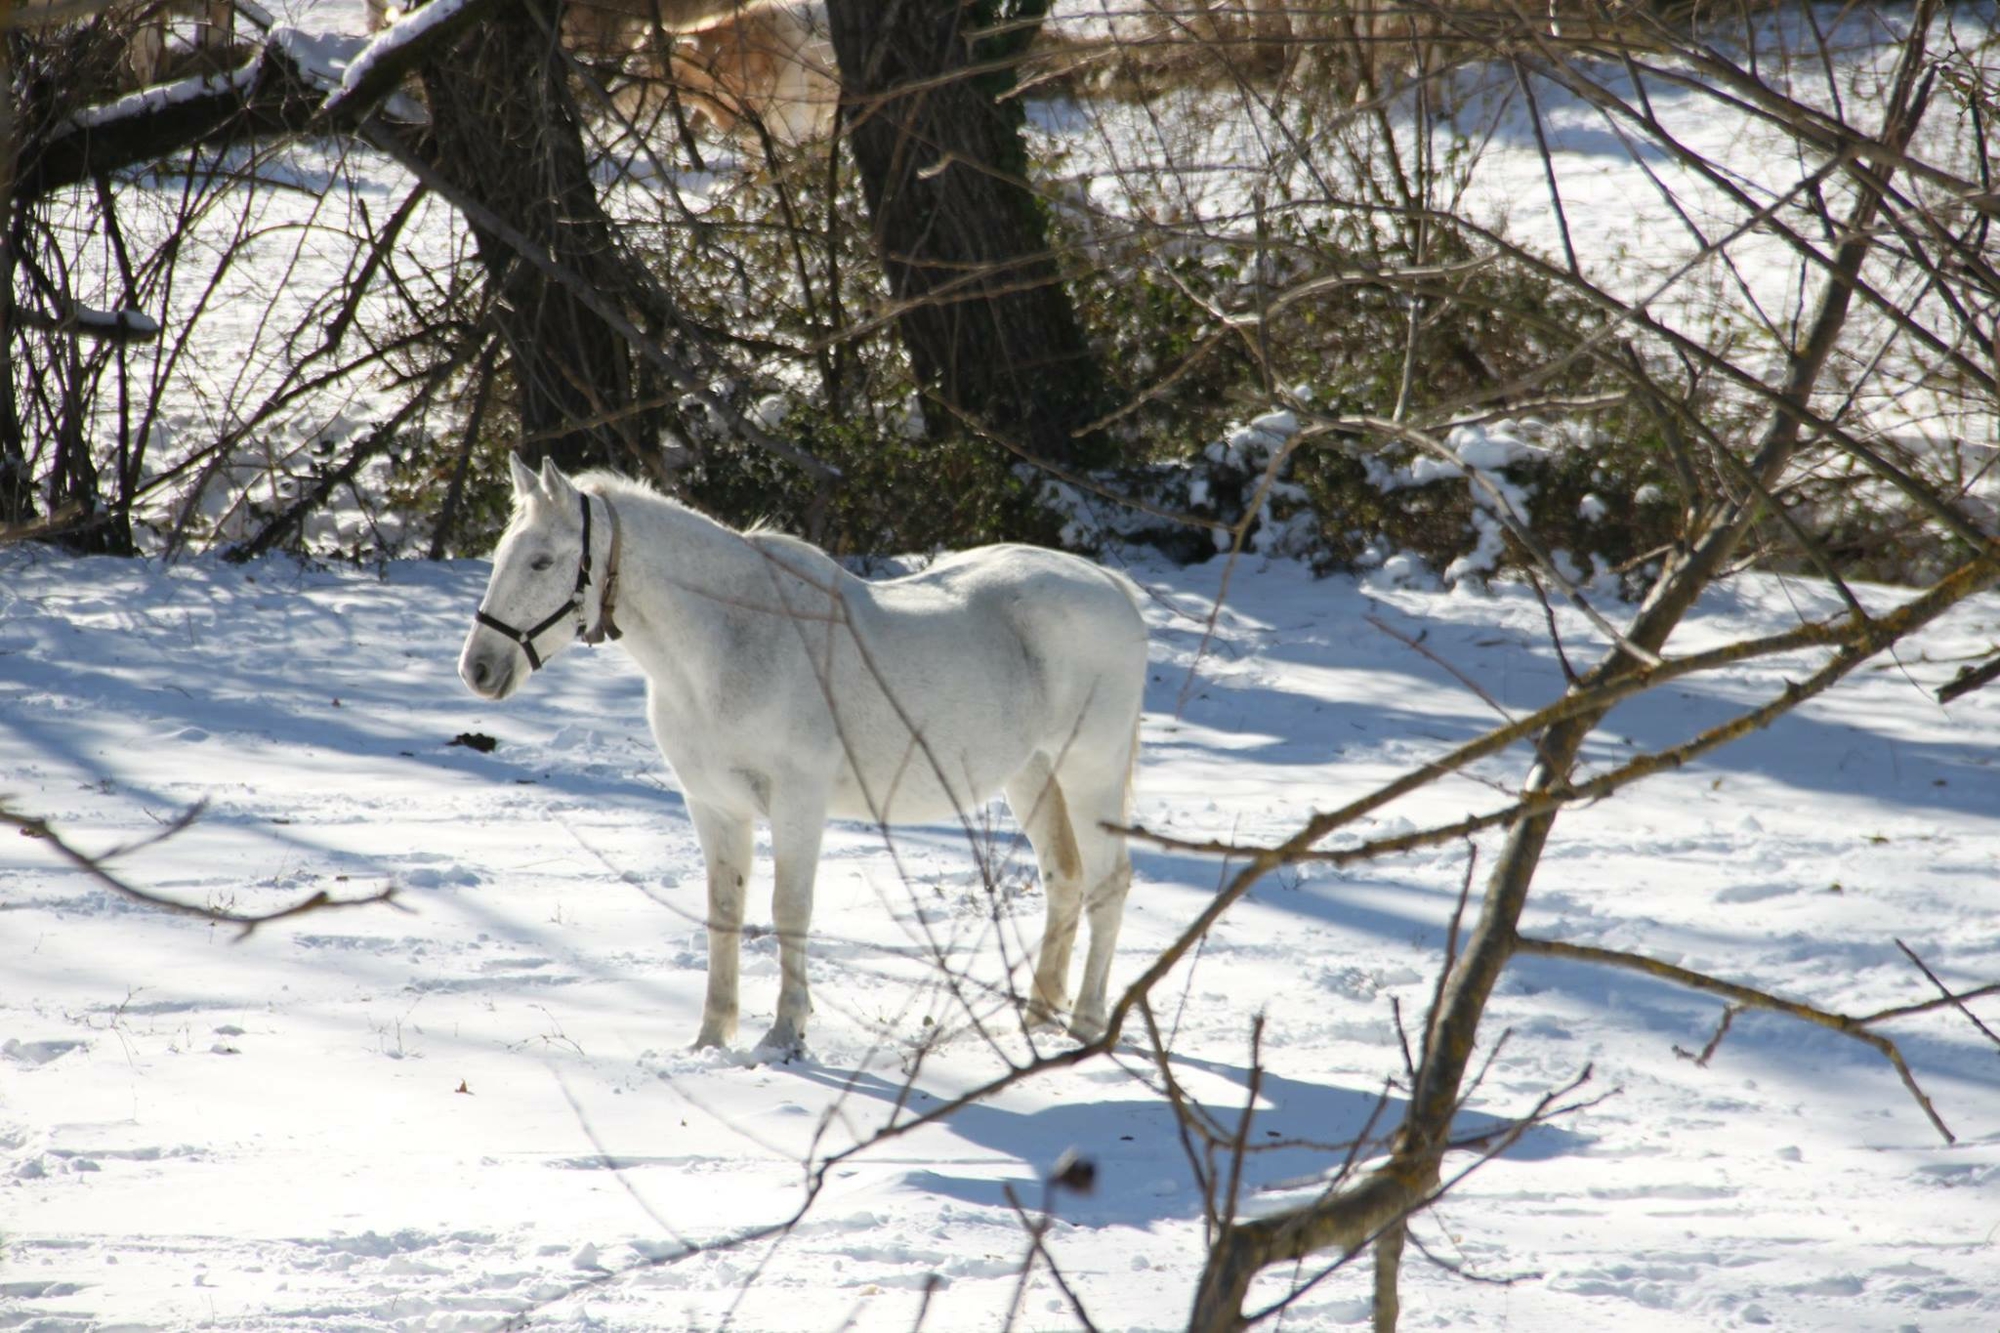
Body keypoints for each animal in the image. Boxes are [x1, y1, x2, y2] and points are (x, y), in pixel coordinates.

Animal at [456, 456, 1144, 1048]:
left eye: (542, 562)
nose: (478, 669)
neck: (729, 644)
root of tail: (1112, 586)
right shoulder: (714, 805)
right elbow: (725, 910)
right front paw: (712, 1037)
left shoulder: (797, 803)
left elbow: (789, 908)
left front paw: (786, 1034)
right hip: (1032, 774)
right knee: (1064, 878)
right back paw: (1038, 1015)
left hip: (1091, 770)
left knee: (1108, 882)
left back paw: (1086, 1023)